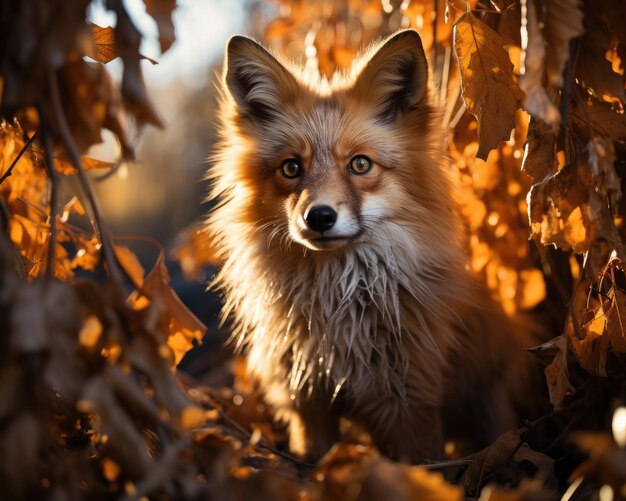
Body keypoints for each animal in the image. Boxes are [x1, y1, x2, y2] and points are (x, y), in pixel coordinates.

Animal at [207, 30, 532, 460]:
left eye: (360, 164)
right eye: (291, 168)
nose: (319, 217)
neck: (340, 307)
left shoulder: (410, 402)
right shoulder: (306, 404)